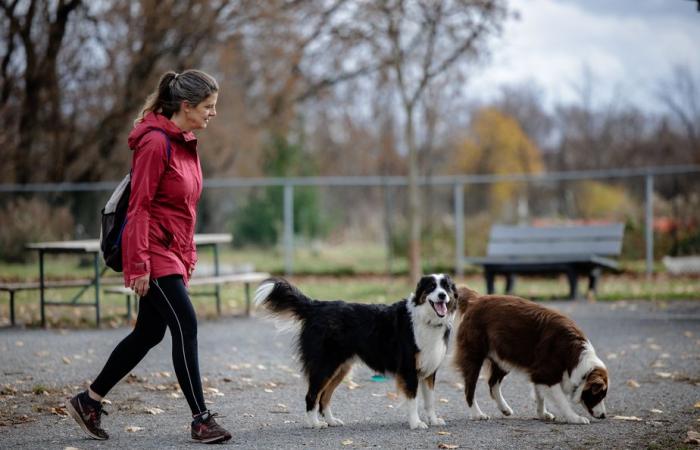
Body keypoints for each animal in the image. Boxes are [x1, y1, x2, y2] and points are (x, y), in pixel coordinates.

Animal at [253, 272, 460, 430]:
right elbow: (413, 400)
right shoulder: (408, 370)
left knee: (324, 397)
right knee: (312, 395)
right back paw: (315, 424)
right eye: (431, 287)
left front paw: (433, 420)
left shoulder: (429, 370)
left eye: (446, 287)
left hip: (340, 368)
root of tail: (316, 306)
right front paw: (416, 423)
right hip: (324, 366)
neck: (425, 319)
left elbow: (430, 400)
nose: (442, 296)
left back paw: (331, 421)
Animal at [454, 288, 608, 426]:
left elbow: (540, 396)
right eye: (599, 395)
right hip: (475, 356)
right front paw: (575, 418)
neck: (576, 358)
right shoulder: (546, 373)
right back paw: (477, 414)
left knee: (493, 383)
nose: (604, 416)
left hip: (503, 356)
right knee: (470, 388)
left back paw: (504, 409)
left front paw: (542, 414)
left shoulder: (538, 373)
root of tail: (475, 299)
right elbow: (562, 401)